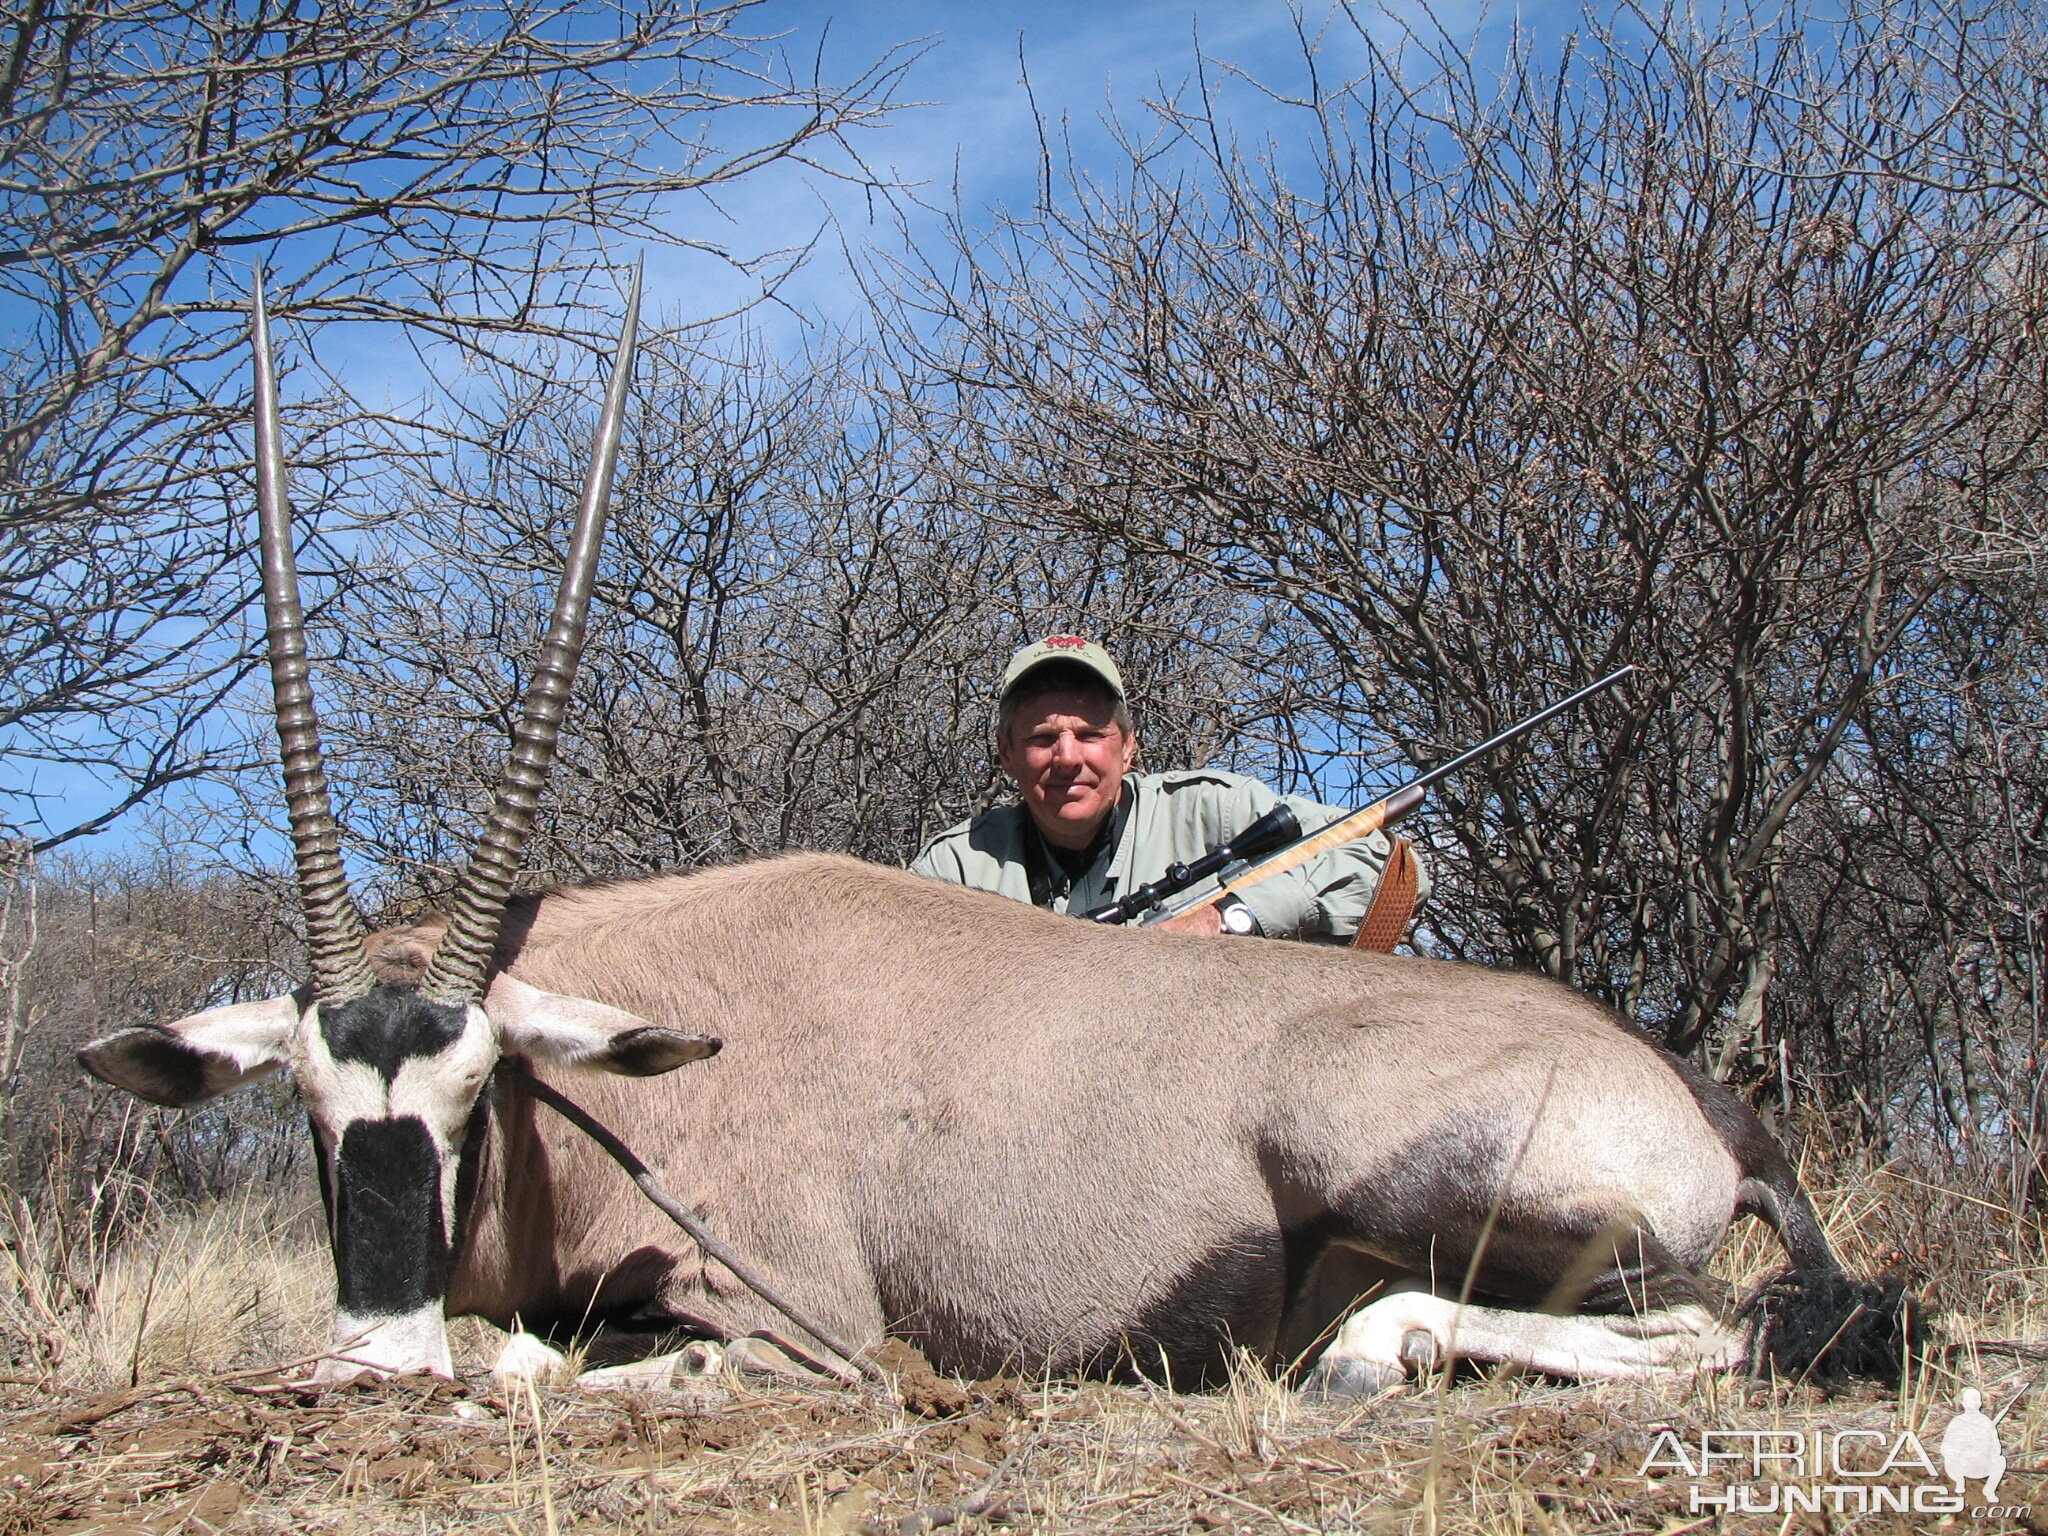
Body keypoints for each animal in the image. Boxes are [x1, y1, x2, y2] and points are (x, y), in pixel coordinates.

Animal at [79, 286, 1908, 1392]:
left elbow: (548, 1361)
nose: (371, 1361)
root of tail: (1704, 1103)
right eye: (308, 1106)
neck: (632, 1057)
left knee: (1690, 1330)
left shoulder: (794, 1322)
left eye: (476, 1096)